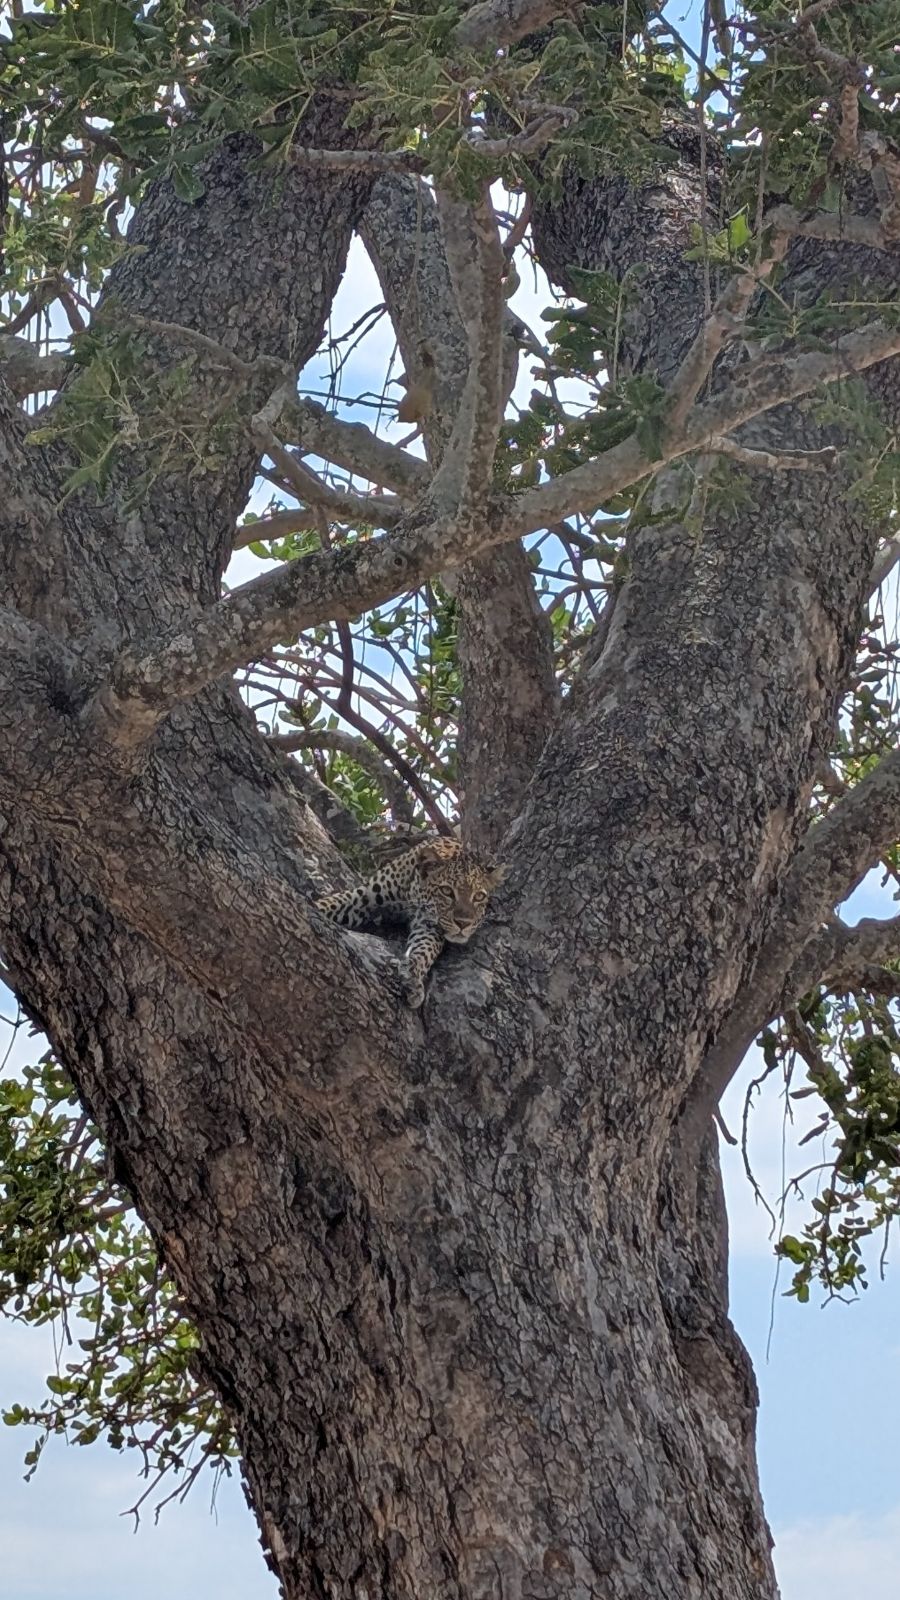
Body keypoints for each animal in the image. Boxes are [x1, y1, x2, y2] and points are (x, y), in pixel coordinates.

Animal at [315, 838, 508, 1008]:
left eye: (479, 896)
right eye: (446, 891)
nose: (463, 923)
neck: (413, 895)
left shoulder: (429, 925)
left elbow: (424, 950)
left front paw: (412, 979)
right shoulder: (364, 896)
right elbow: (330, 903)